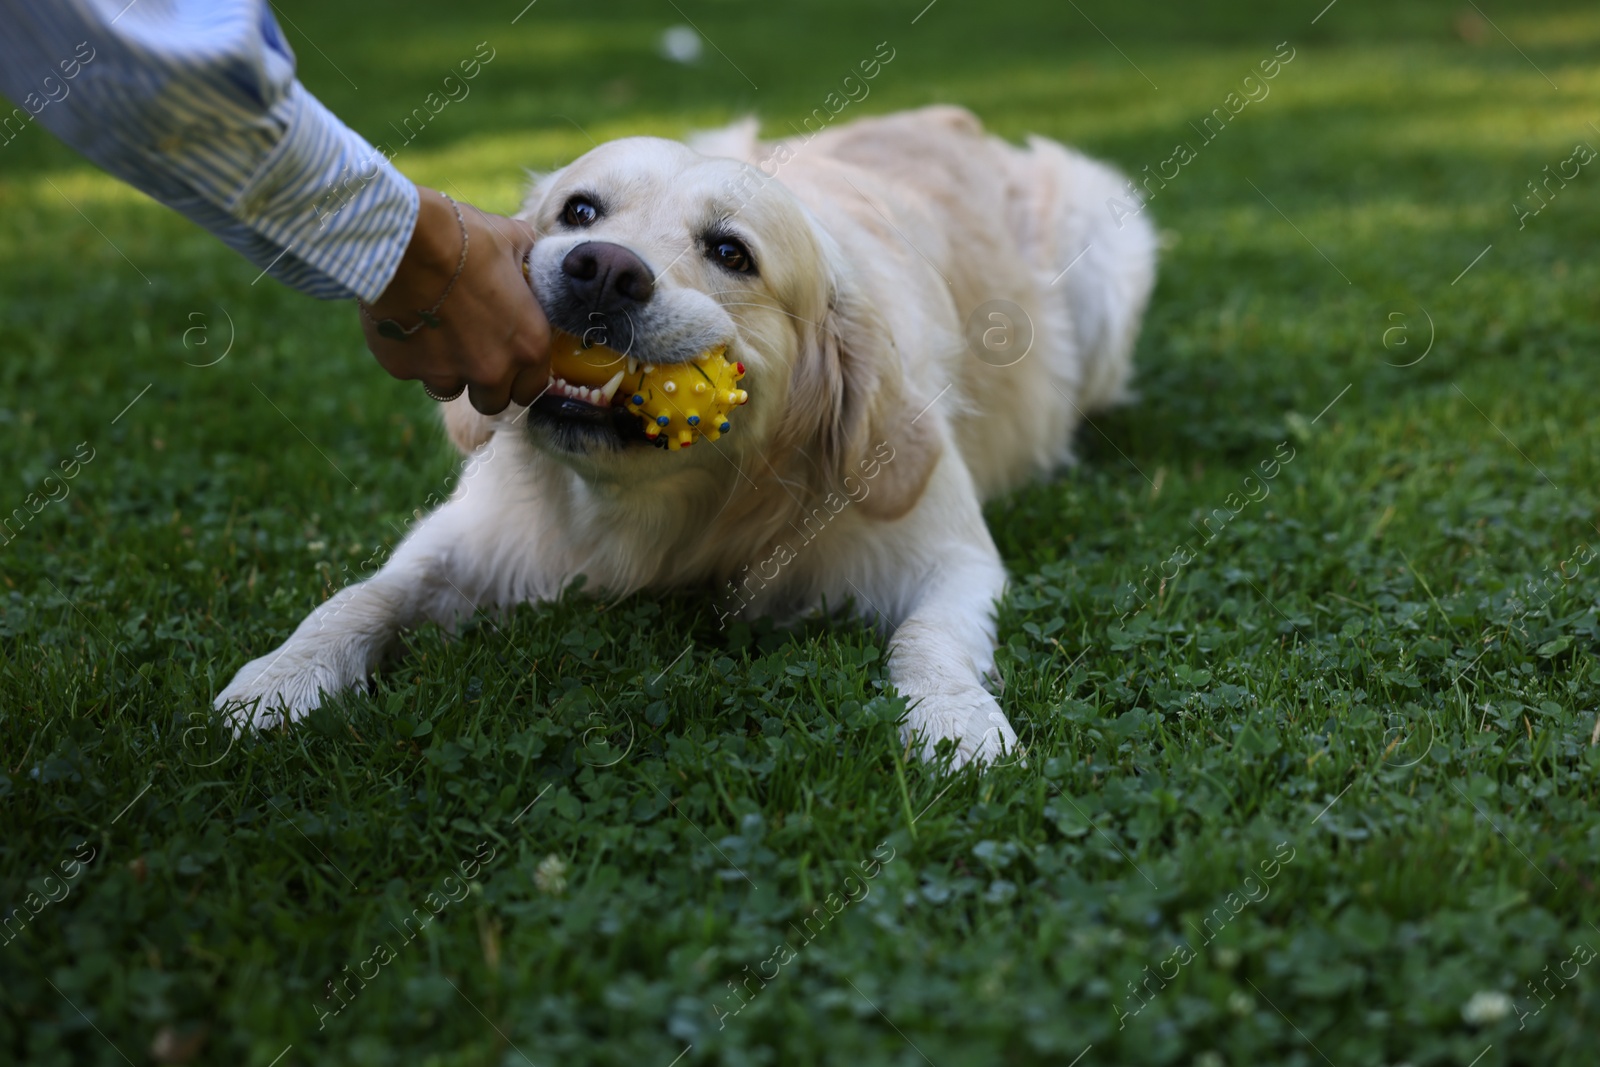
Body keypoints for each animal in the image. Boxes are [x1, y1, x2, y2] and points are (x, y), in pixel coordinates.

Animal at [219, 103, 1158, 764]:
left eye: (731, 252)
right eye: (579, 210)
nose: (602, 269)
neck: (683, 507)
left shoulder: (954, 556)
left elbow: (929, 639)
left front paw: (957, 725)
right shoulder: (470, 534)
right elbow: (363, 594)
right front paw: (279, 677)